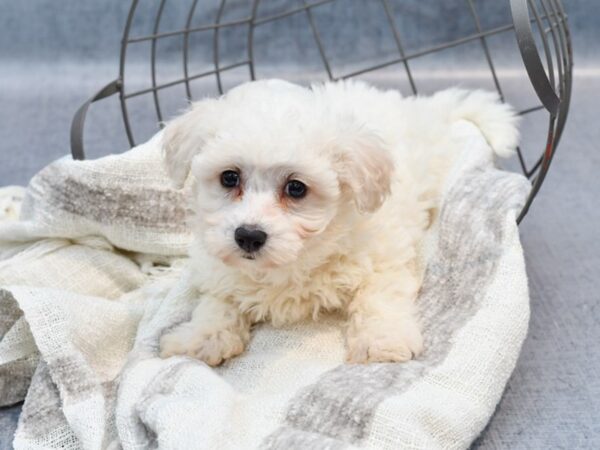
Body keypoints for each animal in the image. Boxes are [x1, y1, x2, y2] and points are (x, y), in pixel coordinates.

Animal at [159, 80, 520, 366]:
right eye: (229, 177)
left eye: (296, 188)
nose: (248, 235)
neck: (295, 262)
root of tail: (418, 108)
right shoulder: (219, 268)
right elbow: (218, 302)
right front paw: (200, 337)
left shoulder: (383, 257)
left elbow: (379, 297)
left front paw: (382, 341)